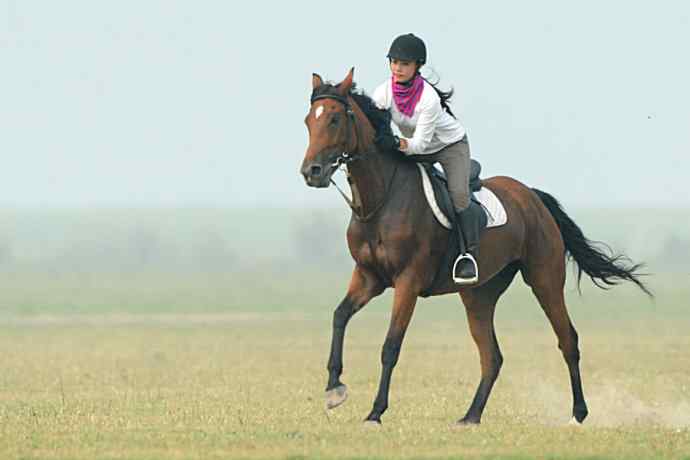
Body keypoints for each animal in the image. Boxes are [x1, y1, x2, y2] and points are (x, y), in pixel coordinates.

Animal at [298, 68, 648, 428]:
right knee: (491, 356)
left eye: (335, 119)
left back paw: (578, 413)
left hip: (545, 280)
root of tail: (532, 197)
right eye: (309, 120)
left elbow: (391, 346)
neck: (382, 200)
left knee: (568, 340)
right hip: (479, 294)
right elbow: (339, 316)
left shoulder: (408, 281)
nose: (312, 172)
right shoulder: (368, 276)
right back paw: (471, 416)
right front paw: (334, 389)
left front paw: (376, 412)